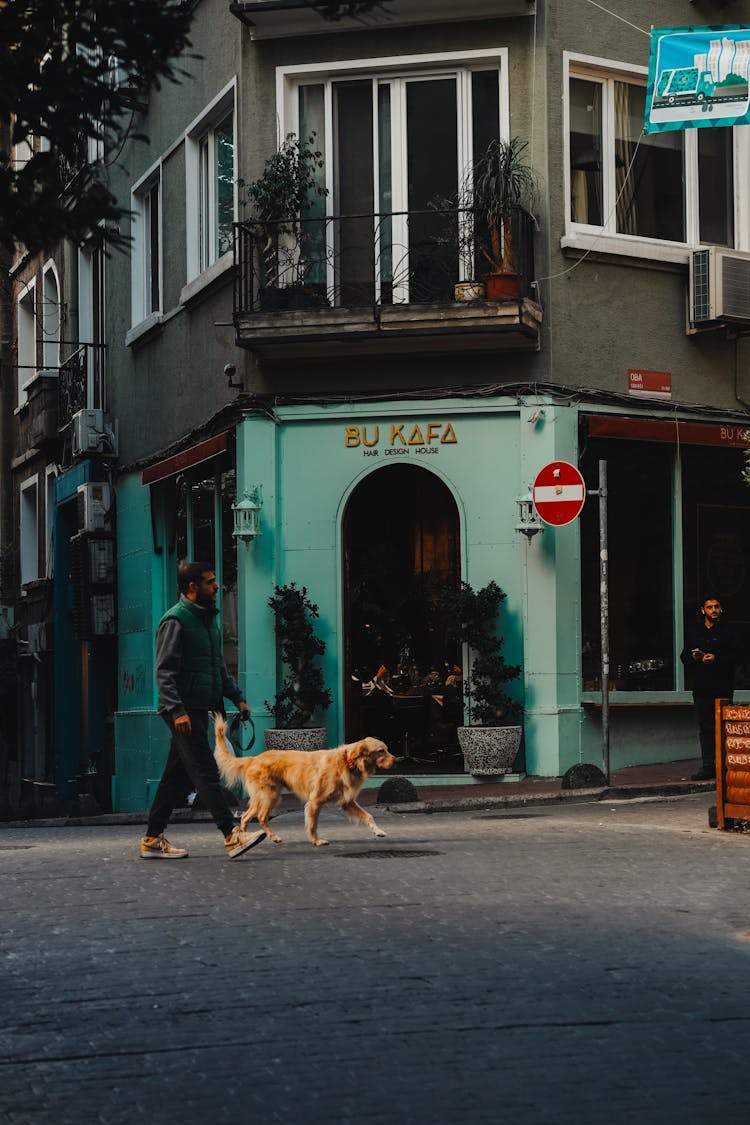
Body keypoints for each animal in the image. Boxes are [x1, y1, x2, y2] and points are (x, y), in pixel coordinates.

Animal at [213, 715, 402, 846]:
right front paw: (317, 841)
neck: (348, 762)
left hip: (264, 797)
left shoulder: (347, 802)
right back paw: (266, 837)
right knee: (259, 816)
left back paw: (247, 838)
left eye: (387, 749)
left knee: (246, 816)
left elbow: (368, 816)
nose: (398, 760)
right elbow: (312, 825)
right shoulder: (315, 801)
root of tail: (253, 758)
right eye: (381, 751)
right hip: (269, 795)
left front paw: (378, 831)